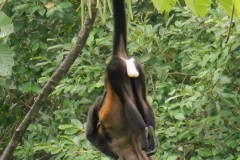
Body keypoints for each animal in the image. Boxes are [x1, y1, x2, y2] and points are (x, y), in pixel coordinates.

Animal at [86, 0, 158, 159]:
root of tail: (119, 56)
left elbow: (91, 135)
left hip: (115, 70)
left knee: (126, 100)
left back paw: (143, 131)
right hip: (137, 66)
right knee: (142, 99)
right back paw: (150, 132)